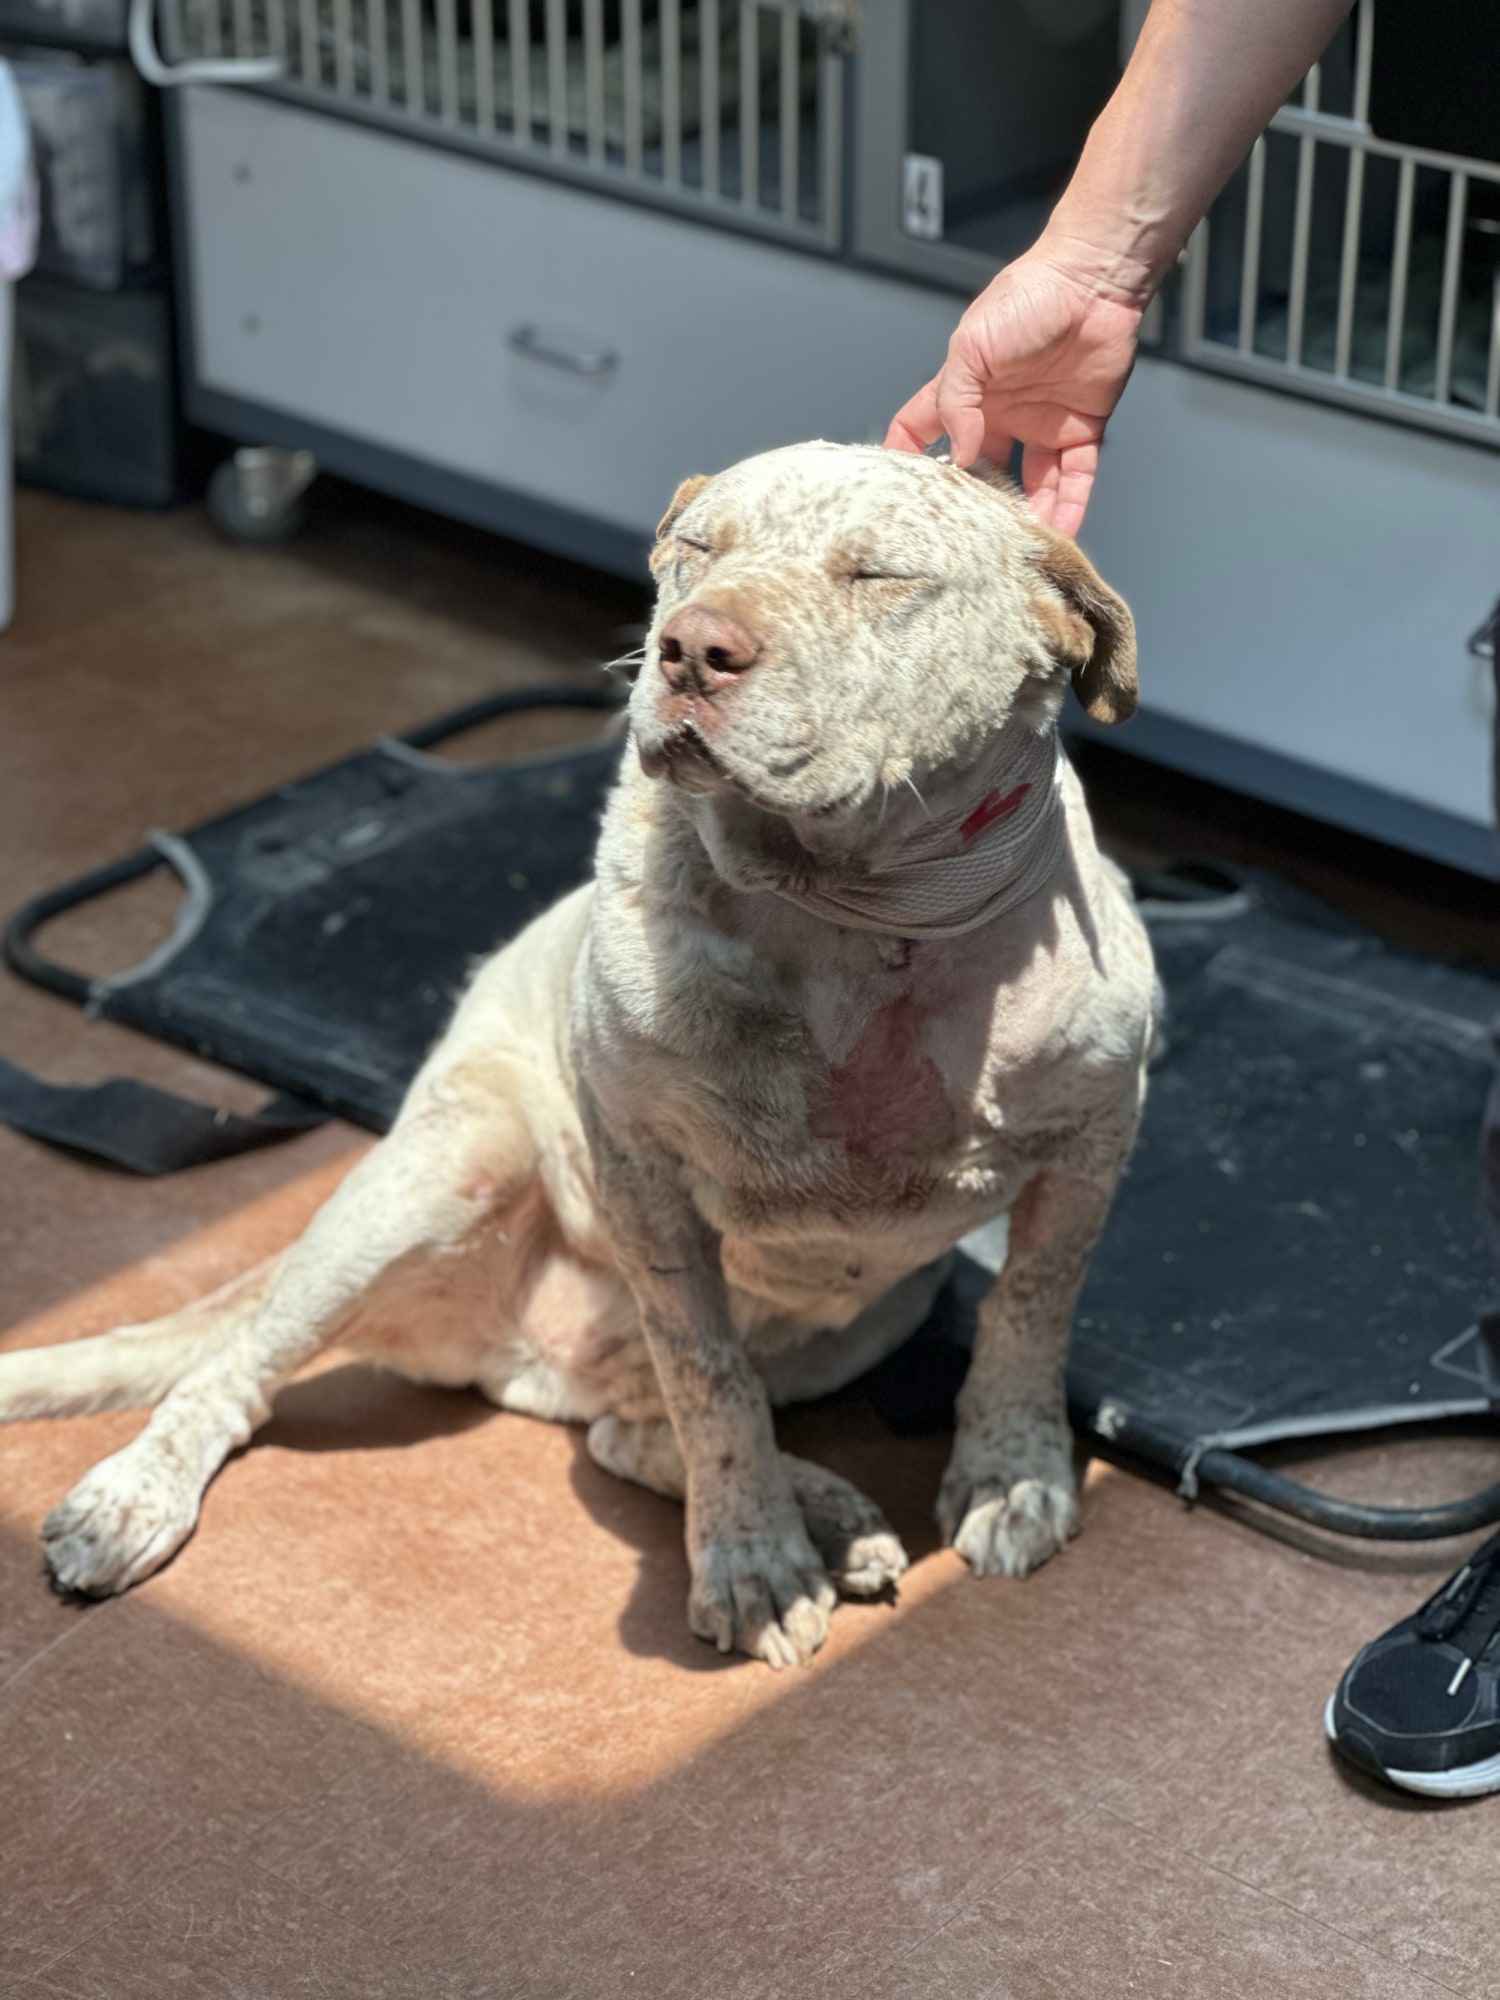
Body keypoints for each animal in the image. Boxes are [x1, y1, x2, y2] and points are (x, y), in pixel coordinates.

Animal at [0, 446, 1160, 1664]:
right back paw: (132, 1497)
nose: (691, 647)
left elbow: (1028, 1313)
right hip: (447, 1166)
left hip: (862, 1320)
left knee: (623, 1432)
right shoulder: (644, 1174)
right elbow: (710, 1381)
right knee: (236, 1371)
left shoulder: (1093, 1141)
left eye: (876, 574)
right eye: (696, 548)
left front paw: (1013, 1472)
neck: (854, 916)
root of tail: (528, 1359)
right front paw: (752, 1562)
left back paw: (832, 1514)